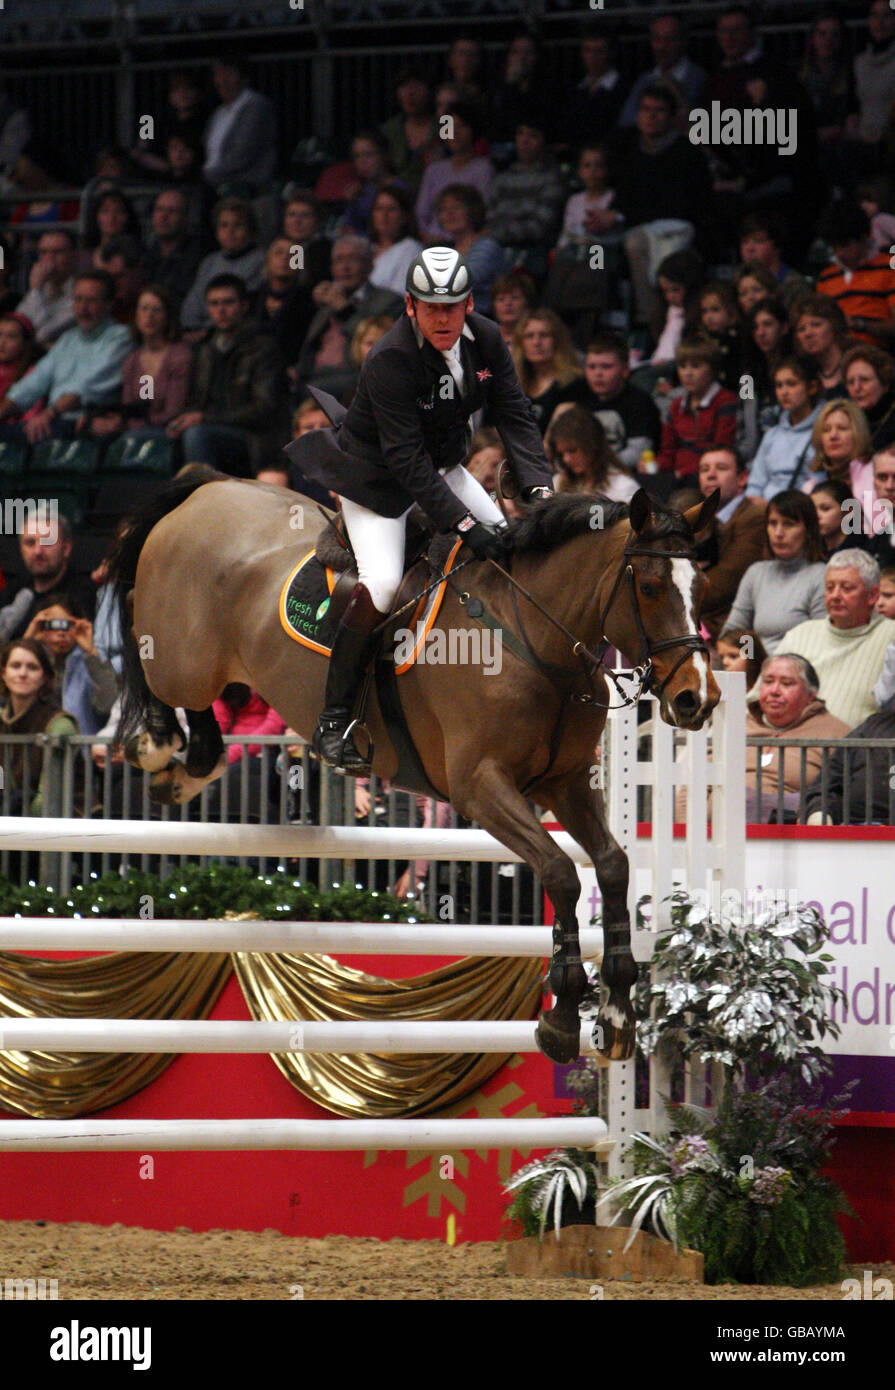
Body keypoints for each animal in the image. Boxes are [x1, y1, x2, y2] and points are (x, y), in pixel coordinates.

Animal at [108, 472, 722, 1067]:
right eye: (649, 587)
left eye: (703, 589)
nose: (698, 700)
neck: (535, 639)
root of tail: (206, 488)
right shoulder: (481, 788)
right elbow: (561, 873)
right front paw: (563, 1017)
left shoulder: (566, 782)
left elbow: (613, 867)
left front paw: (616, 1016)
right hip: (185, 664)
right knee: (144, 637)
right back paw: (157, 745)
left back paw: (191, 766)